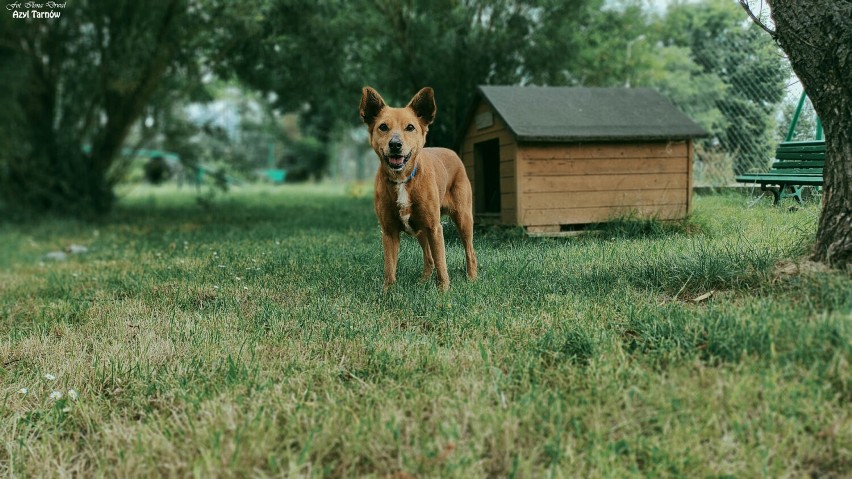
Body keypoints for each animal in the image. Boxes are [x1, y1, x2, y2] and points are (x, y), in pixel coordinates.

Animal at [360, 87, 480, 292]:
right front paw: (388, 293)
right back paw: (423, 281)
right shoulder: (389, 231)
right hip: (420, 230)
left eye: (410, 127)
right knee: (429, 258)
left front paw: (443, 291)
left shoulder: (434, 228)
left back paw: (472, 279)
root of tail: (453, 153)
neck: (402, 179)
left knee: (469, 252)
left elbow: (441, 263)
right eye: (383, 127)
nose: (395, 145)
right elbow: (389, 267)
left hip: (462, 219)